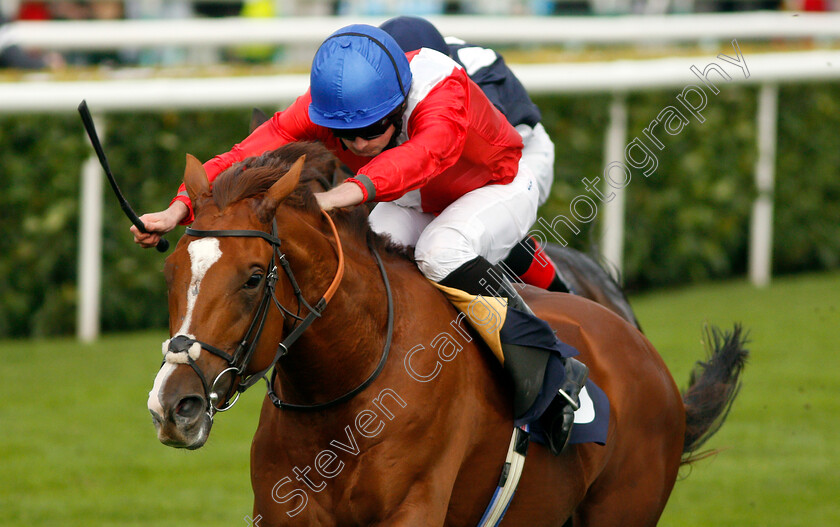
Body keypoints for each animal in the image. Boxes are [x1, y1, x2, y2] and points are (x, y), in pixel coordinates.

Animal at [148, 142, 744, 524]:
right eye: (171, 271)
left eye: (253, 277)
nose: (174, 406)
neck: (348, 391)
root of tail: (638, 345)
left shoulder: (413, 507)